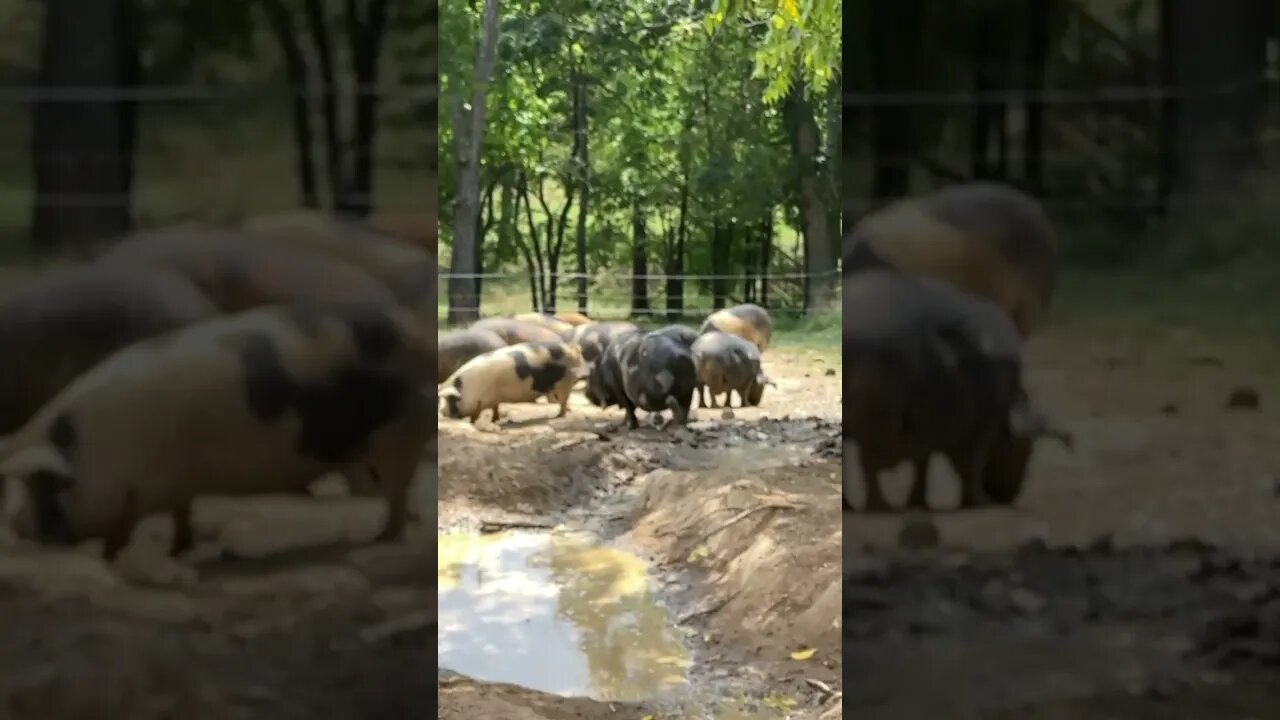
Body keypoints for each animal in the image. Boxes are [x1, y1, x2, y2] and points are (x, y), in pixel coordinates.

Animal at [0, 299, 435, 558]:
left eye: (45, 486)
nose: (18, 528)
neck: (97, 447)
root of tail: (423, 336)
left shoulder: (139, 489)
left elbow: (122, 531)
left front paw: (115, 557)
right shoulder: (172, 483)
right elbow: (181, 513)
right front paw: (178, 550)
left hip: (402, 434)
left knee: (398, 491)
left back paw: (380, 539)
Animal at [435, 340, 586, 422]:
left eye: (452, 400)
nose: (442, 412)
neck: (467, 388)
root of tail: (574, 348)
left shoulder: (480, 400)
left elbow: (476, 413)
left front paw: (474, 422)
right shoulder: (492, 398)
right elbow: (495, 408)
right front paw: (495, 420)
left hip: (565, 383)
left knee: (563, 400)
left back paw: (559, 415)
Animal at [844, 267, 1064, 509]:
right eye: (1027, 447)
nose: (1008, 496)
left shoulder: (930, 425)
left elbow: (924, 463)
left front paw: (918, 503)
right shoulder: (979, 427)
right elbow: (971, 465)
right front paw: (977, 502)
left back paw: (854, 505)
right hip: (877, 415)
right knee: (868, 461)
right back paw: (878, 505)